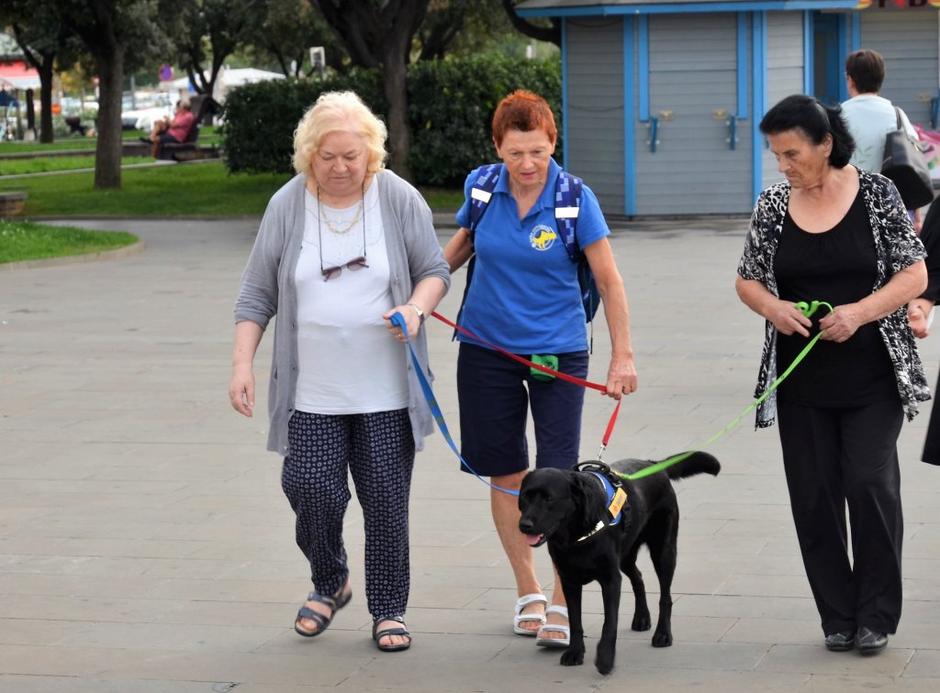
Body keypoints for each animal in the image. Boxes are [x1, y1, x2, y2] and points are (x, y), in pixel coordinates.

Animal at [520, 452, 720, 672]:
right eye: (525, 497)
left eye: (549, 499)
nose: (524, 525)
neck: (577, 534)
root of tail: (654, 464)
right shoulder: (569, 581)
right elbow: (575, 620)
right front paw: (575, 652)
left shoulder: (611, 579)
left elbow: (609, 623)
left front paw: (606, 659)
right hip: (625, 557)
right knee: (638, 578)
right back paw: (642, 617)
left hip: (663, 551)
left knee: (665, 597)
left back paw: (662, 634)